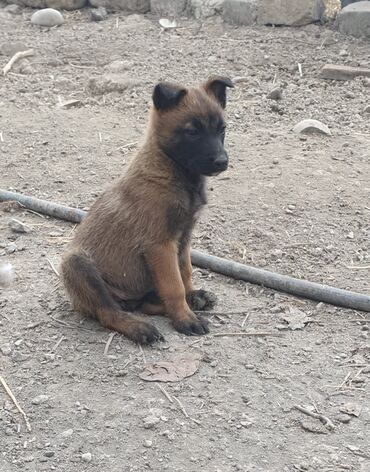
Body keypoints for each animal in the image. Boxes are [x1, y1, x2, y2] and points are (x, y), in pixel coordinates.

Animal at [61, 75, 233, 344]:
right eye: (192, 131)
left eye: (221, 129)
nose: (221, 162)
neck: (171, 168)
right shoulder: (159, 246)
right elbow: (174, 286)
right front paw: (186, 318)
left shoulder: (184, 239)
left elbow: (185, 272)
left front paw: (191, 296)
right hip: (78, 265)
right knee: (108, 311)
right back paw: (139, 327)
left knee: (145, 303)